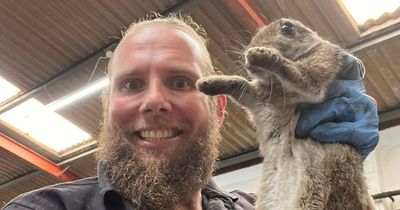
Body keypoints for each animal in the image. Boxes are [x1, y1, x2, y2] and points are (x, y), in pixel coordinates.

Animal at [197, 18, 376, 210]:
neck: (277, 83)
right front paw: (206, 83)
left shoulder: (321, 62)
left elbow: (301, 75)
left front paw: (263, 55)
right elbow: (239, 83)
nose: (248, 52)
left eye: (287, 28)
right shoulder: (259, 97)